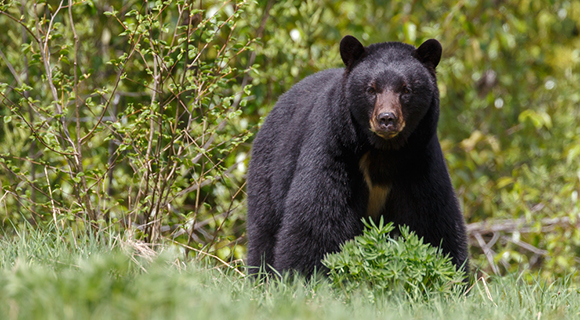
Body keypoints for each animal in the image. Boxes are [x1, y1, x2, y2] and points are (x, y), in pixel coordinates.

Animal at [247, 34, 468, 276]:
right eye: (371, 89)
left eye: (406, 90)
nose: (387, 119)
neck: (383, 151)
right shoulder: (335, 149)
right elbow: (318, 217)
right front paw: (303, 275)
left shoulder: (419, 160)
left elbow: (432, 220)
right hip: (270, 169)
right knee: (264, 229)